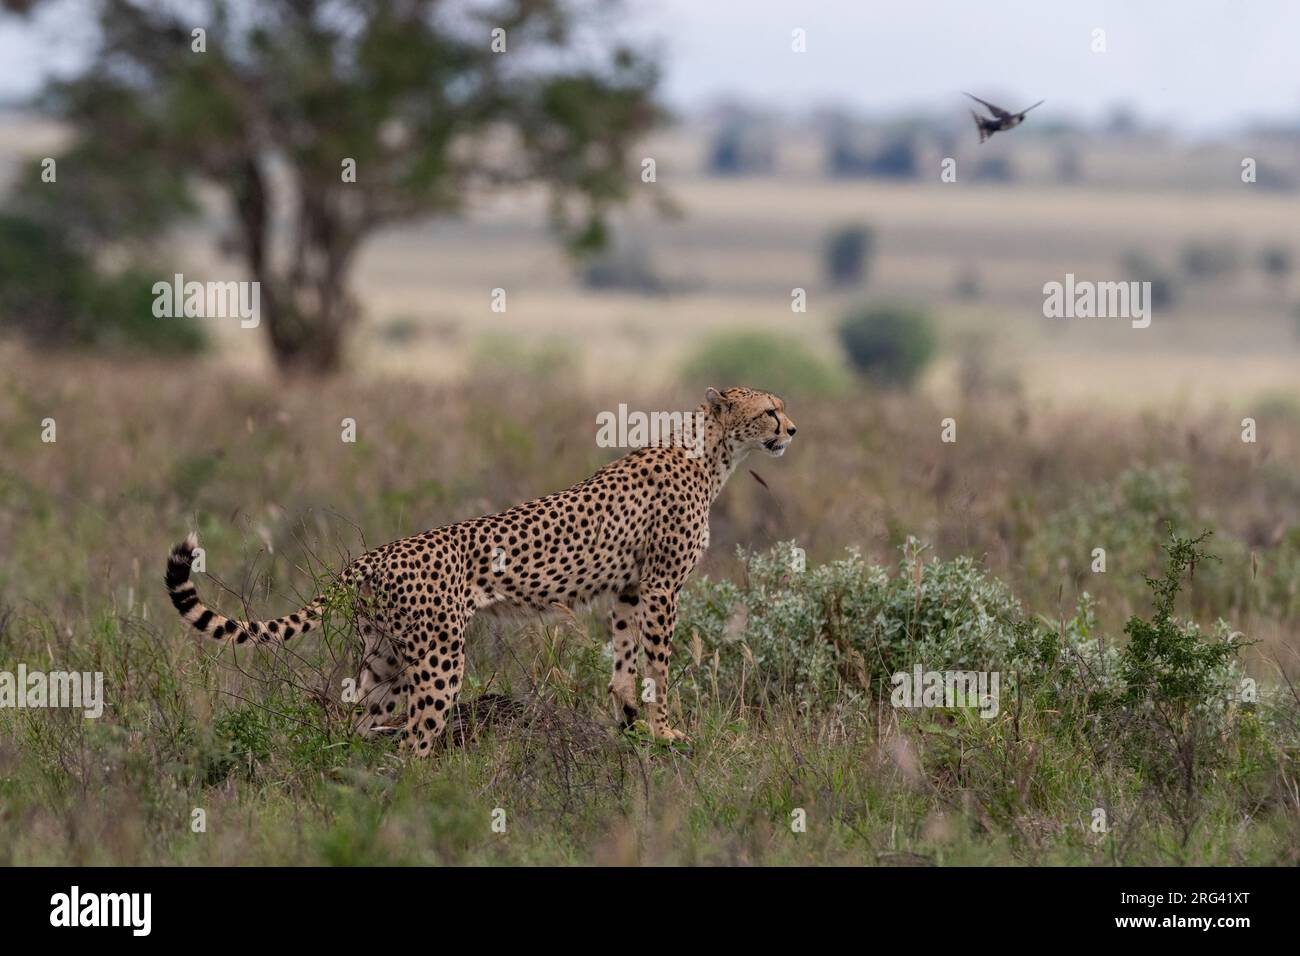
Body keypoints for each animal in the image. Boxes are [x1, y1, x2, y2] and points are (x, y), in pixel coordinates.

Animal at [162, 387, 790, 754]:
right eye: (770, 410)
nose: (792, 430)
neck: (712, 452)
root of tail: (371, 555)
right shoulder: (662, 586)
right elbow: (658, 663)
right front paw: (662, 729)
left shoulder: (632, 589)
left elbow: (625, 659)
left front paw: (630, 717)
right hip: (439, 655)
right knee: (414, 741)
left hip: (385, 656)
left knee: (358, 723)